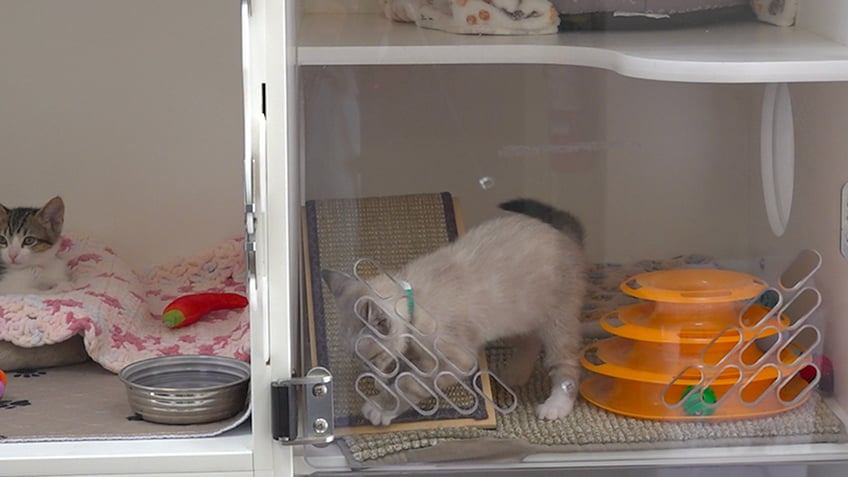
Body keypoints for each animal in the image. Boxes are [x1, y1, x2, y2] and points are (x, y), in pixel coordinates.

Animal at [322, 197, 588, 424]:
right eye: (358, 359)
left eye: (372, 357)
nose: (368, 371)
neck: (414, 304)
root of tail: (563, 235)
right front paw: (384, 384)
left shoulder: (457, 360)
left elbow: (408, 384)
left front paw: (381, 405)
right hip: (512, 319)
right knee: (530, 342)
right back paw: (514, 374)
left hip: (556, 325)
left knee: (566, 364)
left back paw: (556, 405)